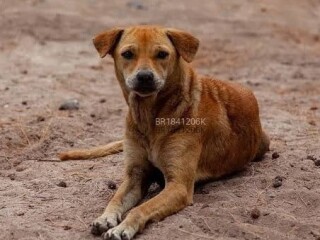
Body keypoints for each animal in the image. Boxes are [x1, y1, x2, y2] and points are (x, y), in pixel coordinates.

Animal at [58, 25, 270, 239]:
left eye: (162, 54)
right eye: (127, 54)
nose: (145, 76)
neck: (150, 118)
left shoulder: (179, 186)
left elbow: (140, 209)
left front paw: (123, 227)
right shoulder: (135, 175)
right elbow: (115, 199)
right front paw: (105, 218)